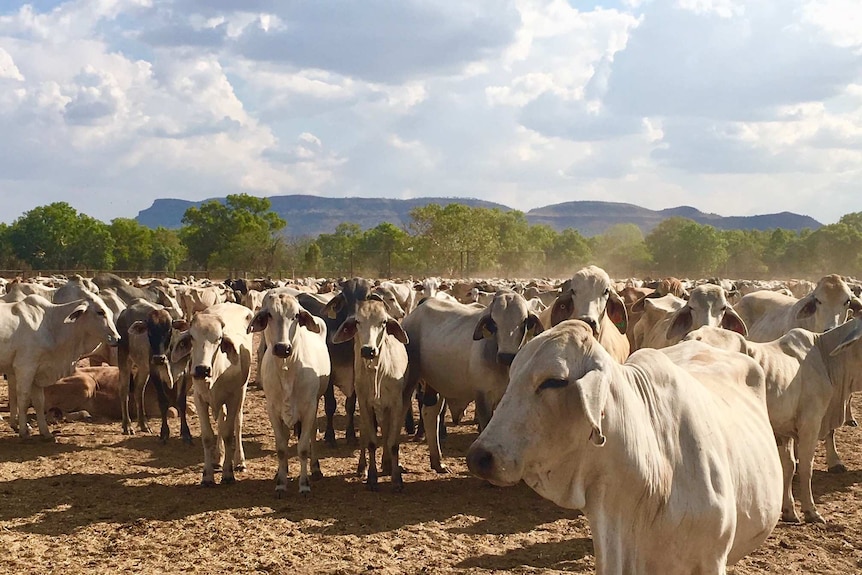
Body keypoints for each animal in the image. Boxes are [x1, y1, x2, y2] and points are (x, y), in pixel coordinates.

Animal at [170, 302, 253, 486]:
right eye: (192, 337)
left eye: (219, 339)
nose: (202, 369)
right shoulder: (200, 399)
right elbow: (208, 437)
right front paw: (207, 476)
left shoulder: (233, 397)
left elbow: (229, 433)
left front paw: (228, 474)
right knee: (222, 422)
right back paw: (217, 459)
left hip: (242, 393)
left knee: (237, 422)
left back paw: (239, 461)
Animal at [250, 290, 334, 498]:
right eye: (269, 315)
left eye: (295, 315)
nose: (282, 347)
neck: (287, 369)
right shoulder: (273, 410)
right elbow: (281, 448)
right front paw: (281, 482)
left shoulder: (309, 409)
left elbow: (303, 448)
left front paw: (304, 484)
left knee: (312, 434)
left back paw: (315, 469)